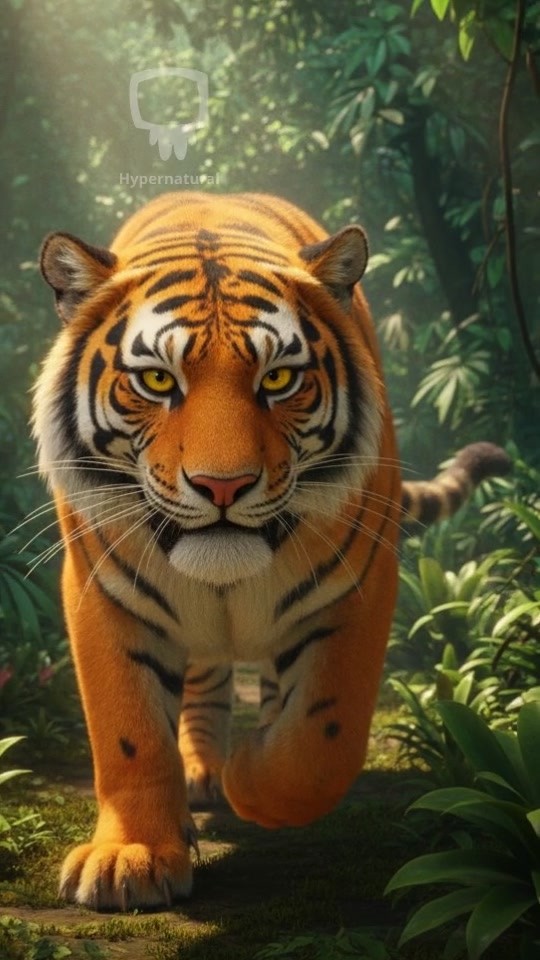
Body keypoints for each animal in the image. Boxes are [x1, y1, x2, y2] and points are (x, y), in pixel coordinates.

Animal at [33, 191, 510, 911]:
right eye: (157, 381)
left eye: (280, 378)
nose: (222, 485)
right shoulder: (102, 592)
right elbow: (129, 734)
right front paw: (131, 858)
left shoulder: (361, 585)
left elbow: (320, 744)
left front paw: (253, 778)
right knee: (203, 684)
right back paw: (201, 771)